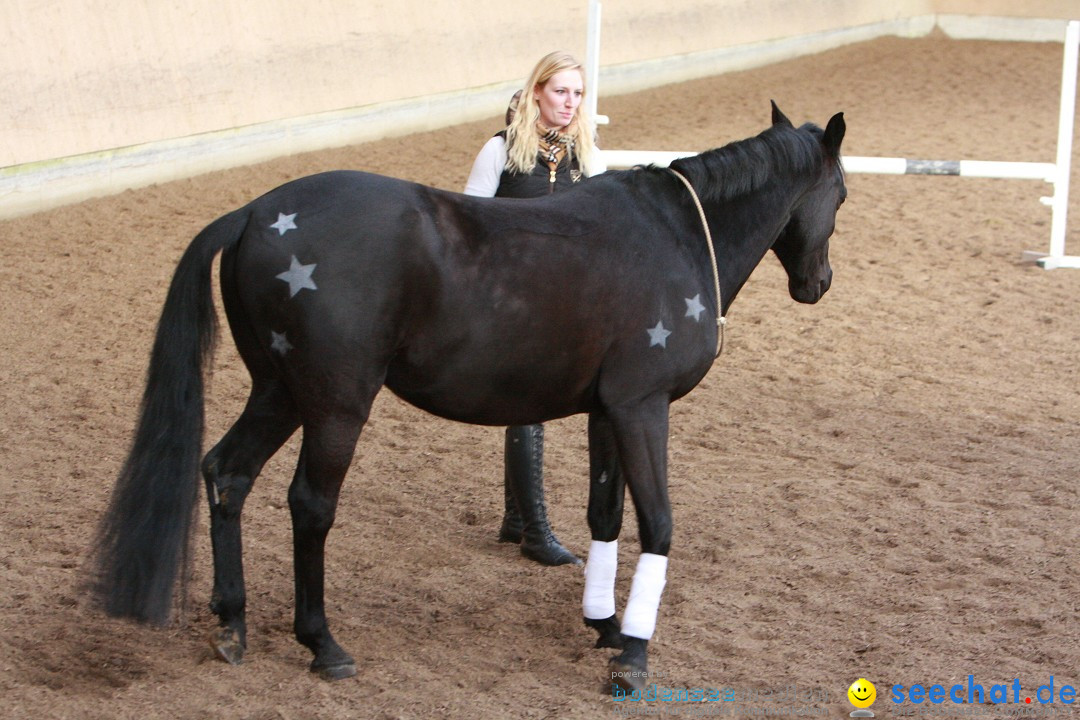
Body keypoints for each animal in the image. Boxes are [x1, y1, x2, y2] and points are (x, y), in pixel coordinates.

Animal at [92, 104, 846, 690]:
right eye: (839, 194)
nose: (819, 284)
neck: (678, 235)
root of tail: (254, 212)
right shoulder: (643, 405)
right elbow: (658, 523)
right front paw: (632, 654)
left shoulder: (608, 411)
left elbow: (604, 515)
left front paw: (602, 624)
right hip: (336, 403)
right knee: (309, 505)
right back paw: (323, 645)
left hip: (280, 391)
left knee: (228, 474)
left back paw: (232, 622)